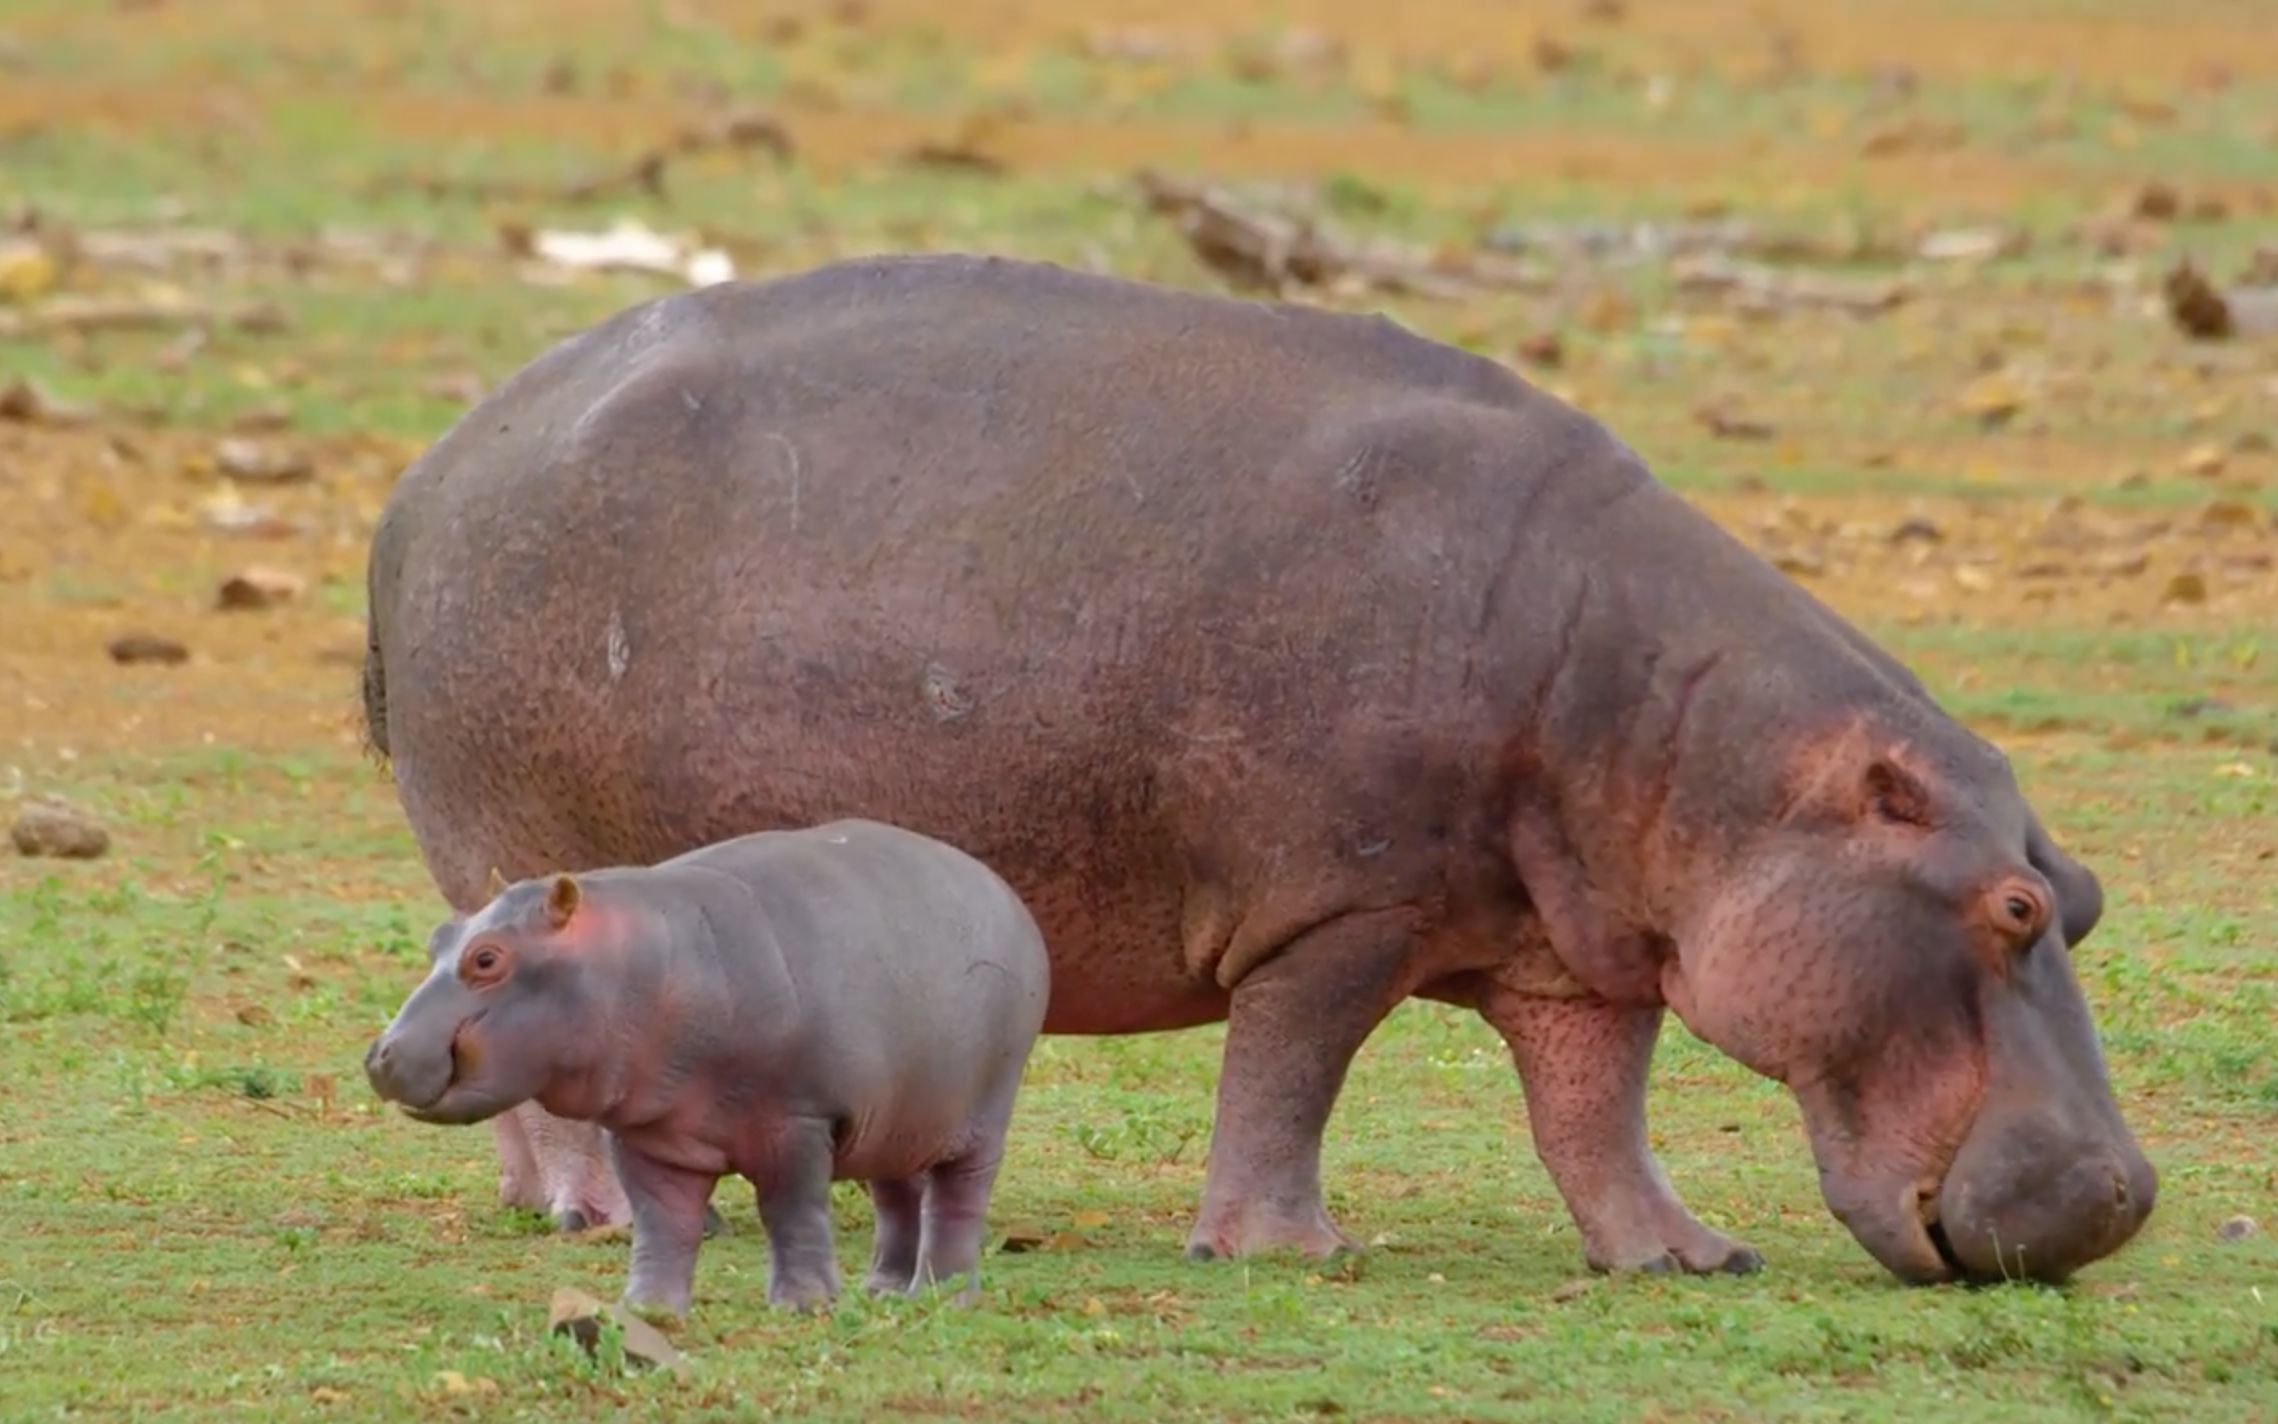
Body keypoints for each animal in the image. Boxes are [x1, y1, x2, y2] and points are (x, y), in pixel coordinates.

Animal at [362, 815, 1047, 1312]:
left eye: (486, 958)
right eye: (438, 939)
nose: (379, 1053)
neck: (641, 960)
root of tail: (1003, 892)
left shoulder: (798, 1121)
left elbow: (792, 1212)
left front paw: (804, 1306)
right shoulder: (650, 1134)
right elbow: (663, 1224)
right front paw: (646, 1310)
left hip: (984, 1112)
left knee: (957, 1201)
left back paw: (944, 1298)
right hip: (896, 1115)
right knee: (897, 1196)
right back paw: (882, 1292)